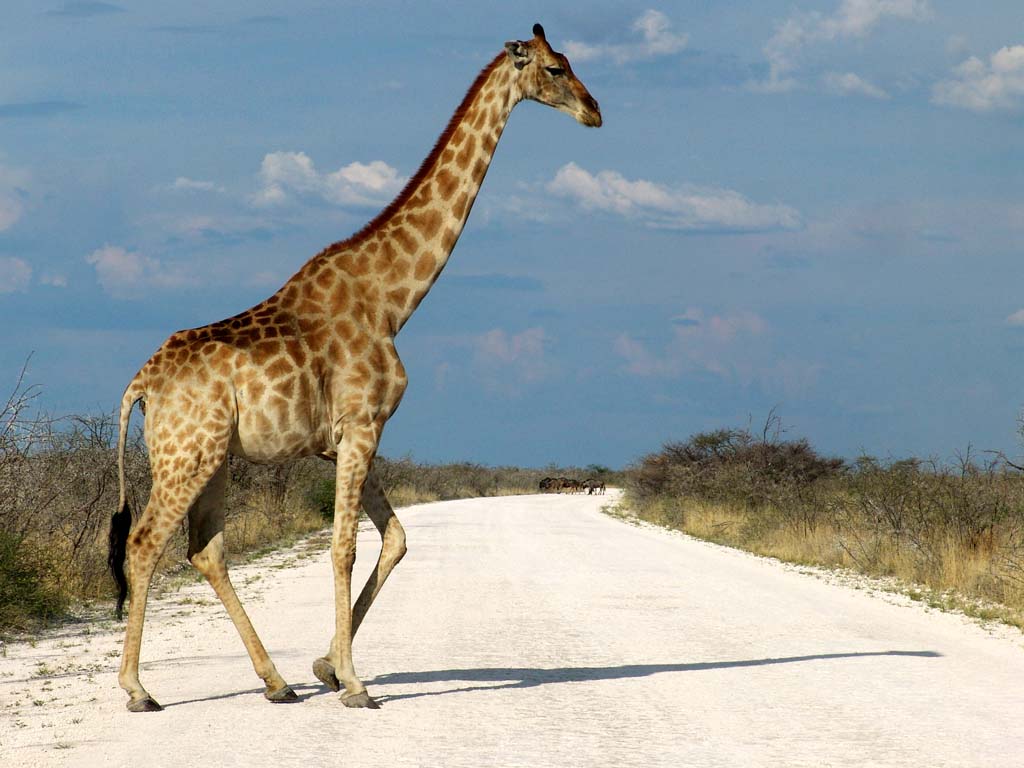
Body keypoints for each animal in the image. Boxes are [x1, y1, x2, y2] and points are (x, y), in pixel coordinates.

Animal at [105, 20, 598, 712]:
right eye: (556, 69)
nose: (594, 111)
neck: (392, 299)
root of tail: (140, 383)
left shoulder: (342, 439)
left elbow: (394, 538)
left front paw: (325, 667)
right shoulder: (363, 424)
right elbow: (343, 546)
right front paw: (356, 684)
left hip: (214, 457)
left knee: (206, 548)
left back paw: (276, 681)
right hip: (187, 454)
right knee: (148, 541)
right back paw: (137, 689)